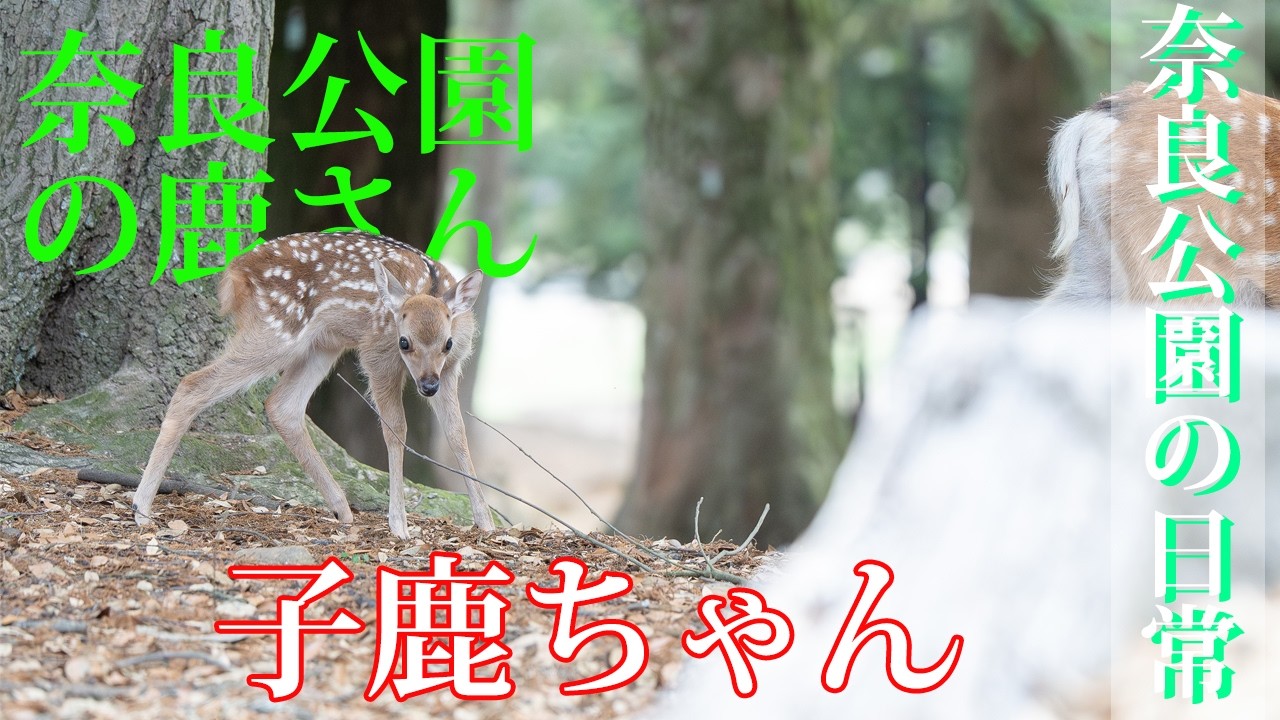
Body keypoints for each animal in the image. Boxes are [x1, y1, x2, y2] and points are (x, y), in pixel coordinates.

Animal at [131, 231, 496, 539]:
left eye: (448, 344)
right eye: (404, 342)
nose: (427, 386)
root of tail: (235, 271)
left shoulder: (450, 369)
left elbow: (457, 433)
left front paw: (486, 521)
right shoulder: (377, 352)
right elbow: (396, 429)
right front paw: (399, 525)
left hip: (322, 344)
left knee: (282, 406)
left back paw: (342, 509)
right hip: (276, 330)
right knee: (192, 385)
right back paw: (141, 508)